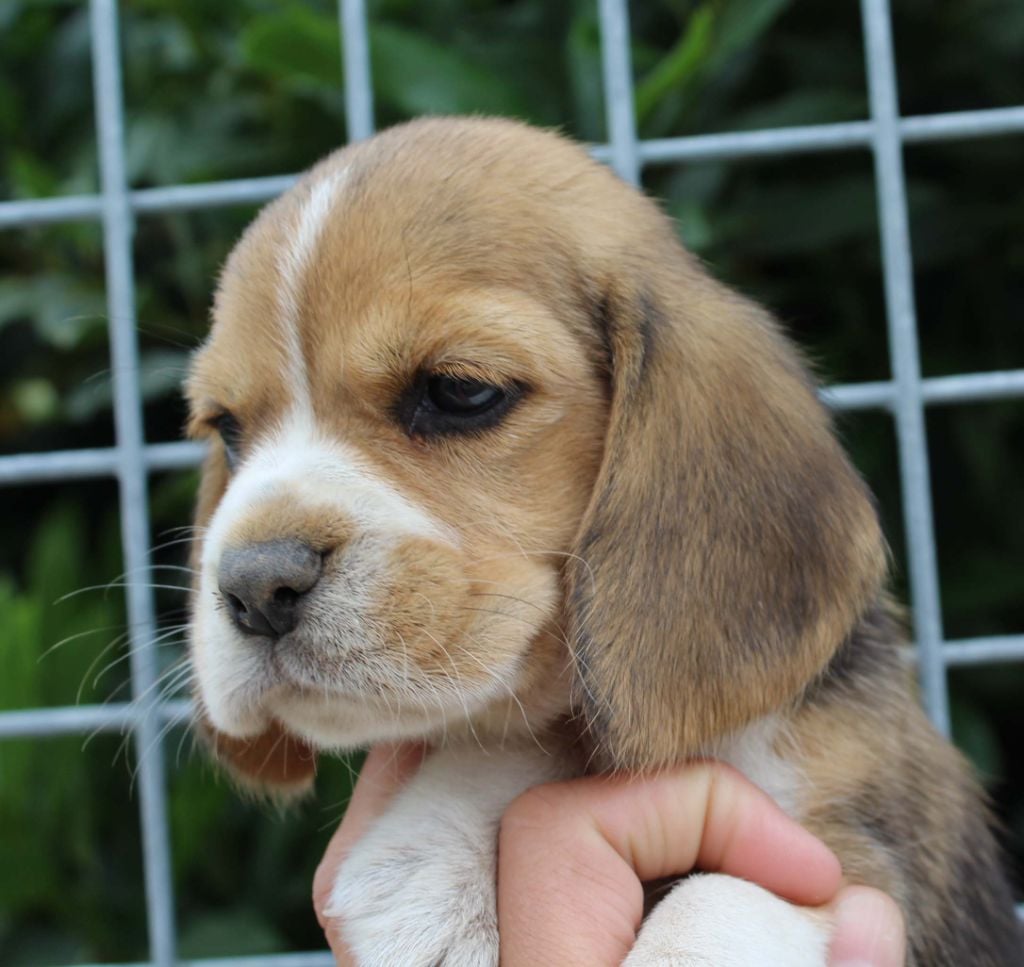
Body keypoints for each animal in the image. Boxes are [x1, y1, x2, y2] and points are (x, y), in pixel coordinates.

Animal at [186, 117, 1024, 962]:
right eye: (227, 428)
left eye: (460, 391)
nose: (254, 586)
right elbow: (516, 741)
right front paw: (421, 873)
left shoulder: (864, 855)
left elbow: (721, 897)